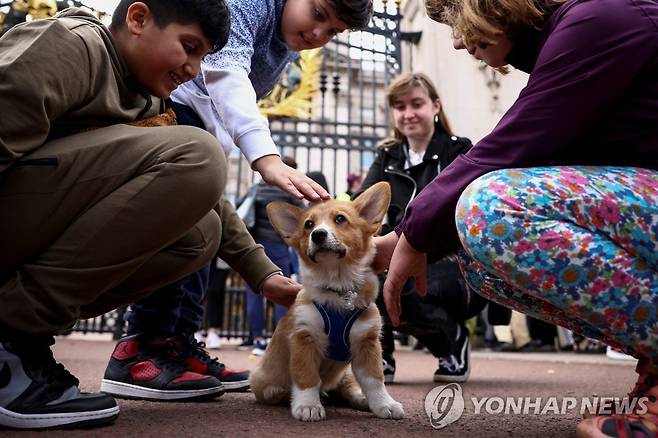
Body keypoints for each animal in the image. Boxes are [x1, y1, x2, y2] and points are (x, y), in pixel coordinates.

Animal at [249, 181, 402, 420]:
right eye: (308, 224)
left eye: (340, 219)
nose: (318, 235)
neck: (337, 288)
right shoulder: (304, 339)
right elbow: (307, 378)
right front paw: (308, 405)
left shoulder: (367, 343)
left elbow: (375, 380)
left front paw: (384, 404)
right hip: (262, 383)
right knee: (278, 390)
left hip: (345, 373)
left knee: (348, 387)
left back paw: (360, 399)